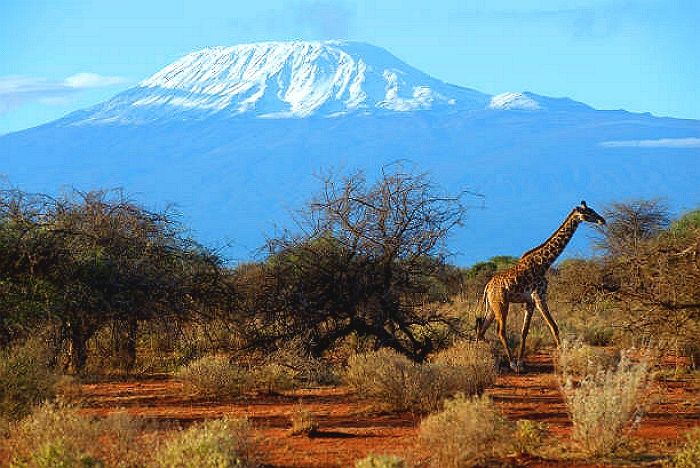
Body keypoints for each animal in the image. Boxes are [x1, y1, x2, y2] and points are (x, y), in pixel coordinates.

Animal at [478, 201, 604, 372]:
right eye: (589, 212)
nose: (602, 220)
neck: (544, 264)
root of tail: (488, 287)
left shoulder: (529, 302)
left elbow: (524, 331)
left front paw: (521, 363)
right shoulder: (539, 297)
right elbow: (553, 326)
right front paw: (563, 358)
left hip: (492, 306)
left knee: (482, 331)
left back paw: (489, 356)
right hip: (502, 303)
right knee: (500, 331)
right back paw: (510, 363)